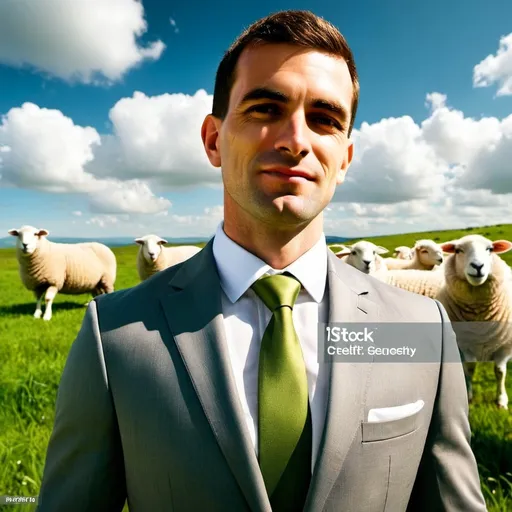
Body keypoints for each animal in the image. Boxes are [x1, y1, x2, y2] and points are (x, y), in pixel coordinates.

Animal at [434, 234, 512, 410]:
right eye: (458, 250)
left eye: (490, 249)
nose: (477, 266)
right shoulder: (464, 344)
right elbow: (469, 369)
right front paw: (468, 396)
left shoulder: (504, 346)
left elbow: (500, 371)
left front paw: (501, 401)